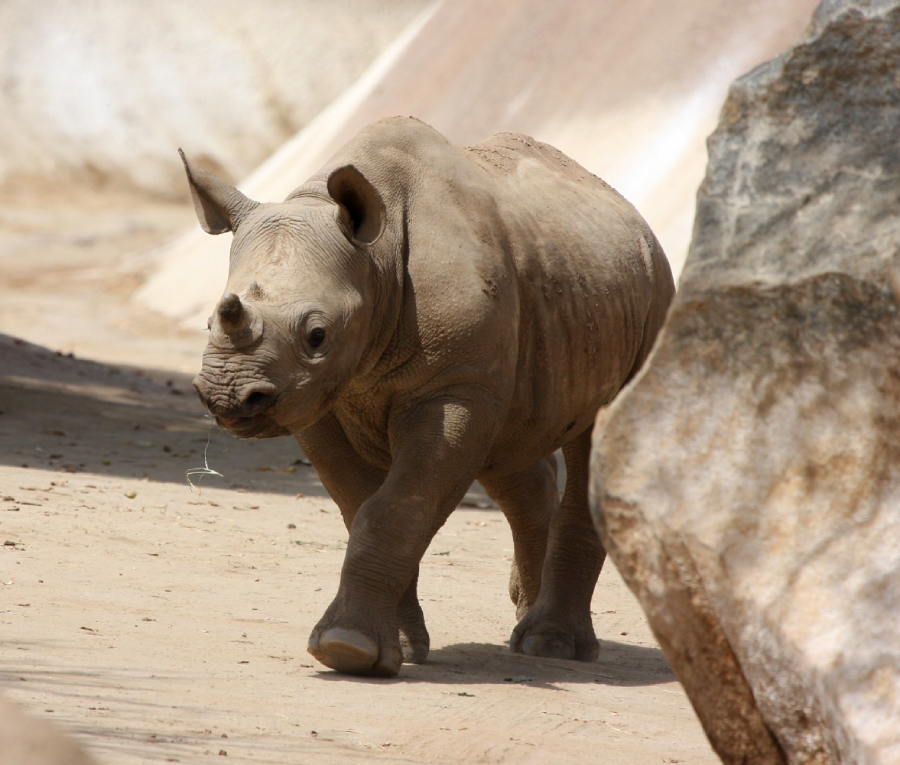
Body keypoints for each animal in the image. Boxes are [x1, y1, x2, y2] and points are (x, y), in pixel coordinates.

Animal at [186, 116, 674, 677]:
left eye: (317, 335)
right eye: (209, 321)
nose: (226, 397)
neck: (374, 263)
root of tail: (635, 217)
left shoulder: (453, 386)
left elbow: (398, 508)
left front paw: (346, 648)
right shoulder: (318, 406)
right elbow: (363, 506)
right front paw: (393, 645)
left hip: (654, 293)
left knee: (590, 439)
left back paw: (552, 646)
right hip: (566, 291)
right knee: (512, 447)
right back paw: (528, 625)